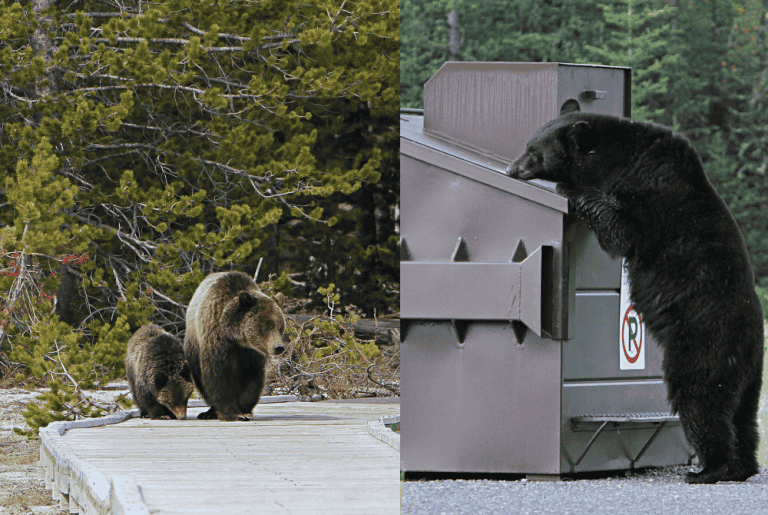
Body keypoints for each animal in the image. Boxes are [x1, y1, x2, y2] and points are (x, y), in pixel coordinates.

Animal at [184, 272, 286, 422]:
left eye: (280, 327)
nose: (279, 347)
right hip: (193, 346)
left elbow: (253, 378)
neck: (237, 339)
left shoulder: (252, 353)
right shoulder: (217, 342)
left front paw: (245, 411)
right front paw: (232, 412)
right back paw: (209, 412)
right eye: (267, 326)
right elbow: (218, 376)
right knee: (200, 378)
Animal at [508, 112, 764, 484]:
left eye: (533, 150)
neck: (621, 158)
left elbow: (622, 231)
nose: (512, 169)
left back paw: (710, 468)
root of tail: (749, 343)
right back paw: (743, 465)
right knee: (743, 415)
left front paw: (573, 189)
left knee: (700, 398)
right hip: (751, 374)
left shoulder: (649, 193)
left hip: (702, 345)